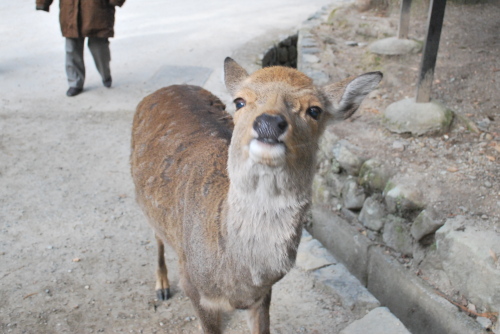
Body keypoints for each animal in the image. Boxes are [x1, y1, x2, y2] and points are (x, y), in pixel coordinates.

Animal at [130, 56, 382, 332]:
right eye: (239, 101)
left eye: (315, 110)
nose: (269, 122)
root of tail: (168, 87)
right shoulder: (193, 286)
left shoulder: (262, 295)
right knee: (157, 235)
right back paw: (162, 287)